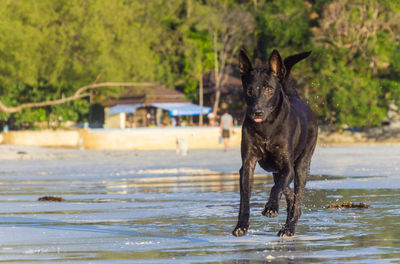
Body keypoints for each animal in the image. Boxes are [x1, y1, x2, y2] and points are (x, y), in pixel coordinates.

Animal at [233, 49, 318, 237]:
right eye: (249, 90)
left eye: (269, 89)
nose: (257, 112)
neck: (266, 127)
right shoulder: (248, 164)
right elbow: (245, 199)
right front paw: (241, 225)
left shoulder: (287, 166)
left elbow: (276, 188)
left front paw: (271, 208)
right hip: (275, 169)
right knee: (289, 194)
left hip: (302, 165)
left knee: (296, 199)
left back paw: (289, 228)